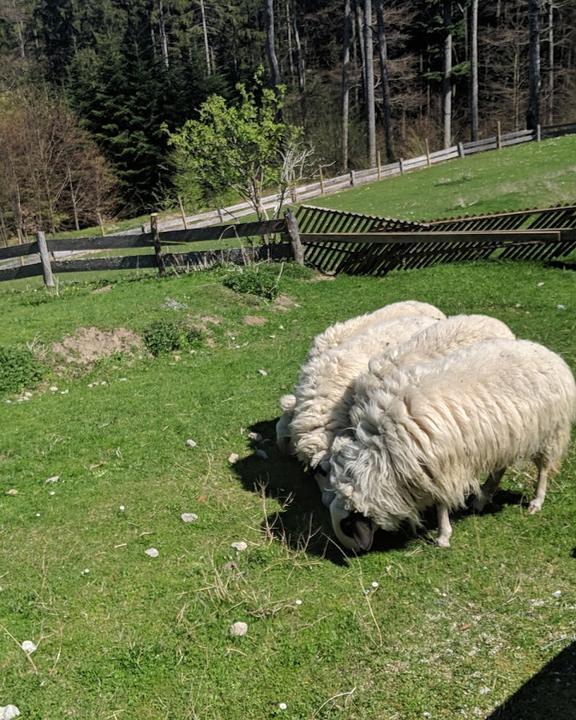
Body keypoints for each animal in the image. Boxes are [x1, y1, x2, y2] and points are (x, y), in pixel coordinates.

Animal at [328, 338, 576, 552]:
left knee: (543, 469)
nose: (357, 551)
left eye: (347, 526)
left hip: (549, 432)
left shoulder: (442, 467)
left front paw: (443, 536)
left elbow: (441, 504)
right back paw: (482, 498)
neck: (383, 450)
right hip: (507, 437)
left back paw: (536, 501)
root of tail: (550, 355)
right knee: (500, 468)